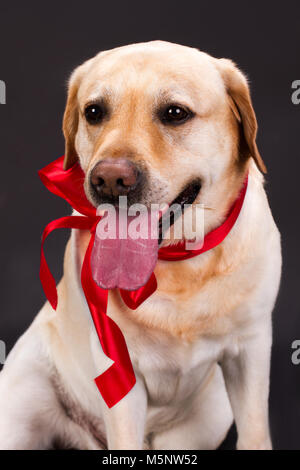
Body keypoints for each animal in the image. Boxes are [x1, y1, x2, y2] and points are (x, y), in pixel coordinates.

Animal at [0, 42, 282, 450]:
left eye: (175, 113)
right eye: (94, 111)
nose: (109, 179)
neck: (179, 262)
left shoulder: (252, 347)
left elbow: (256, 434)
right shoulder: (119, 370)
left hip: (208, 416)